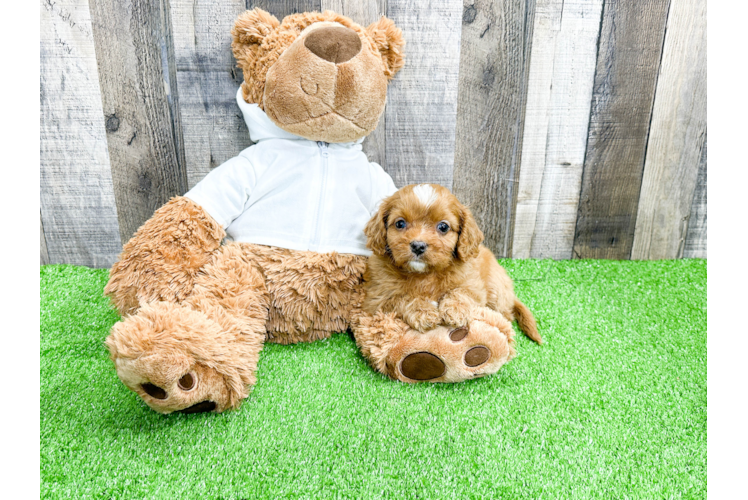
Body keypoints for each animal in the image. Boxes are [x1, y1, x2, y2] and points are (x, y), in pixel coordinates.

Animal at [360, 184, 540, 344]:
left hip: (496, 289)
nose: (418, 245)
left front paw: (455, 310)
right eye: (400, 223)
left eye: (443, 227)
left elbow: (462, 292)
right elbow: (400, 297)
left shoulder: (473, 285)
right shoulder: (377, 299)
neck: (424, 275)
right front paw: (423, 312)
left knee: (506, 315)